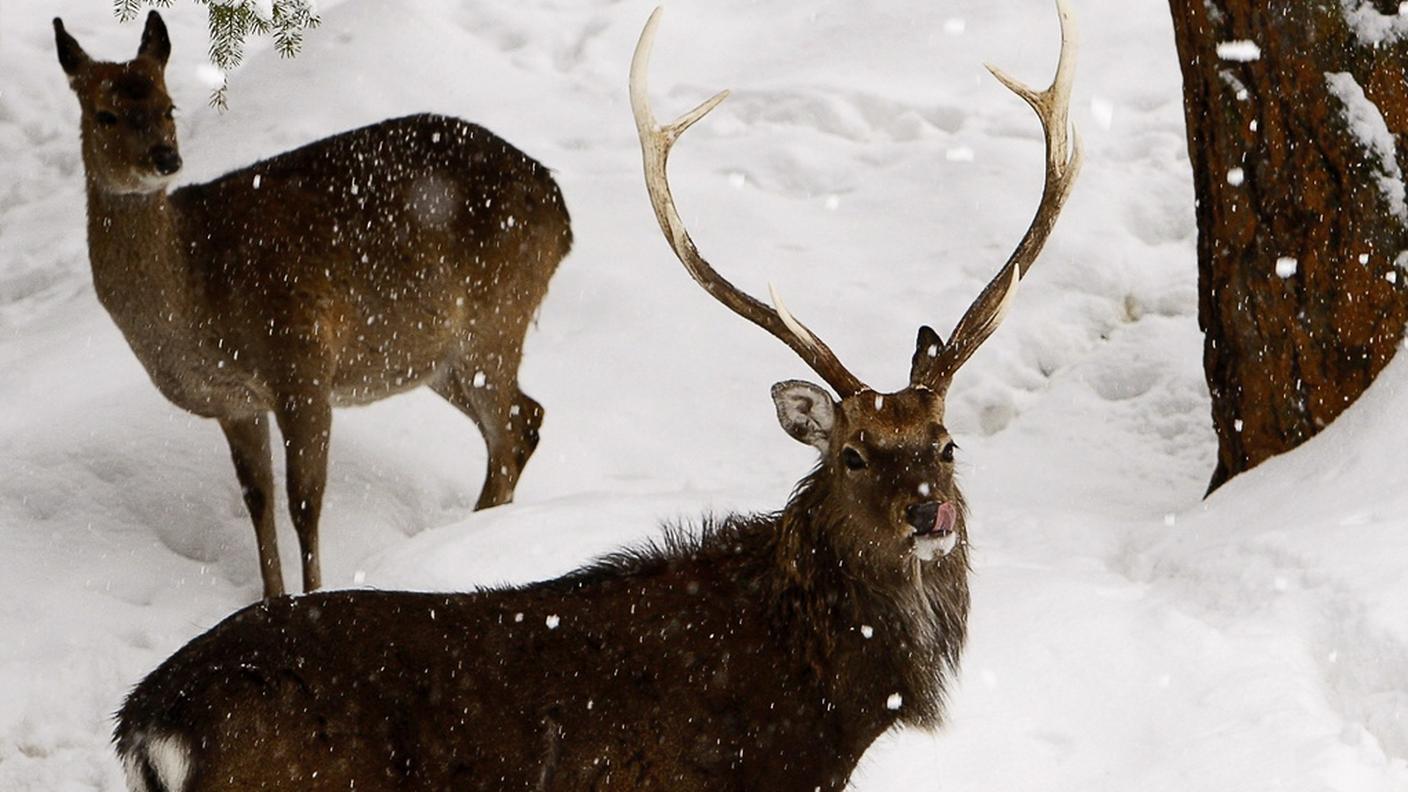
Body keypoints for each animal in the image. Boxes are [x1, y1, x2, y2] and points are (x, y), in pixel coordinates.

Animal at [53, 11, 573, 599]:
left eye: (169, 107)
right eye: (105, 114)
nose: (166, 159)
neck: (197, 288)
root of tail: (562, 213)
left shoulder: (301, 362)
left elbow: (305, 499)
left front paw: (314, 595)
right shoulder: (236, 401)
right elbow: (258, 498)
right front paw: (271, 597)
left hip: (495, 314)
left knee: (510, 429)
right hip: (436, 357)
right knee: (523, 420)